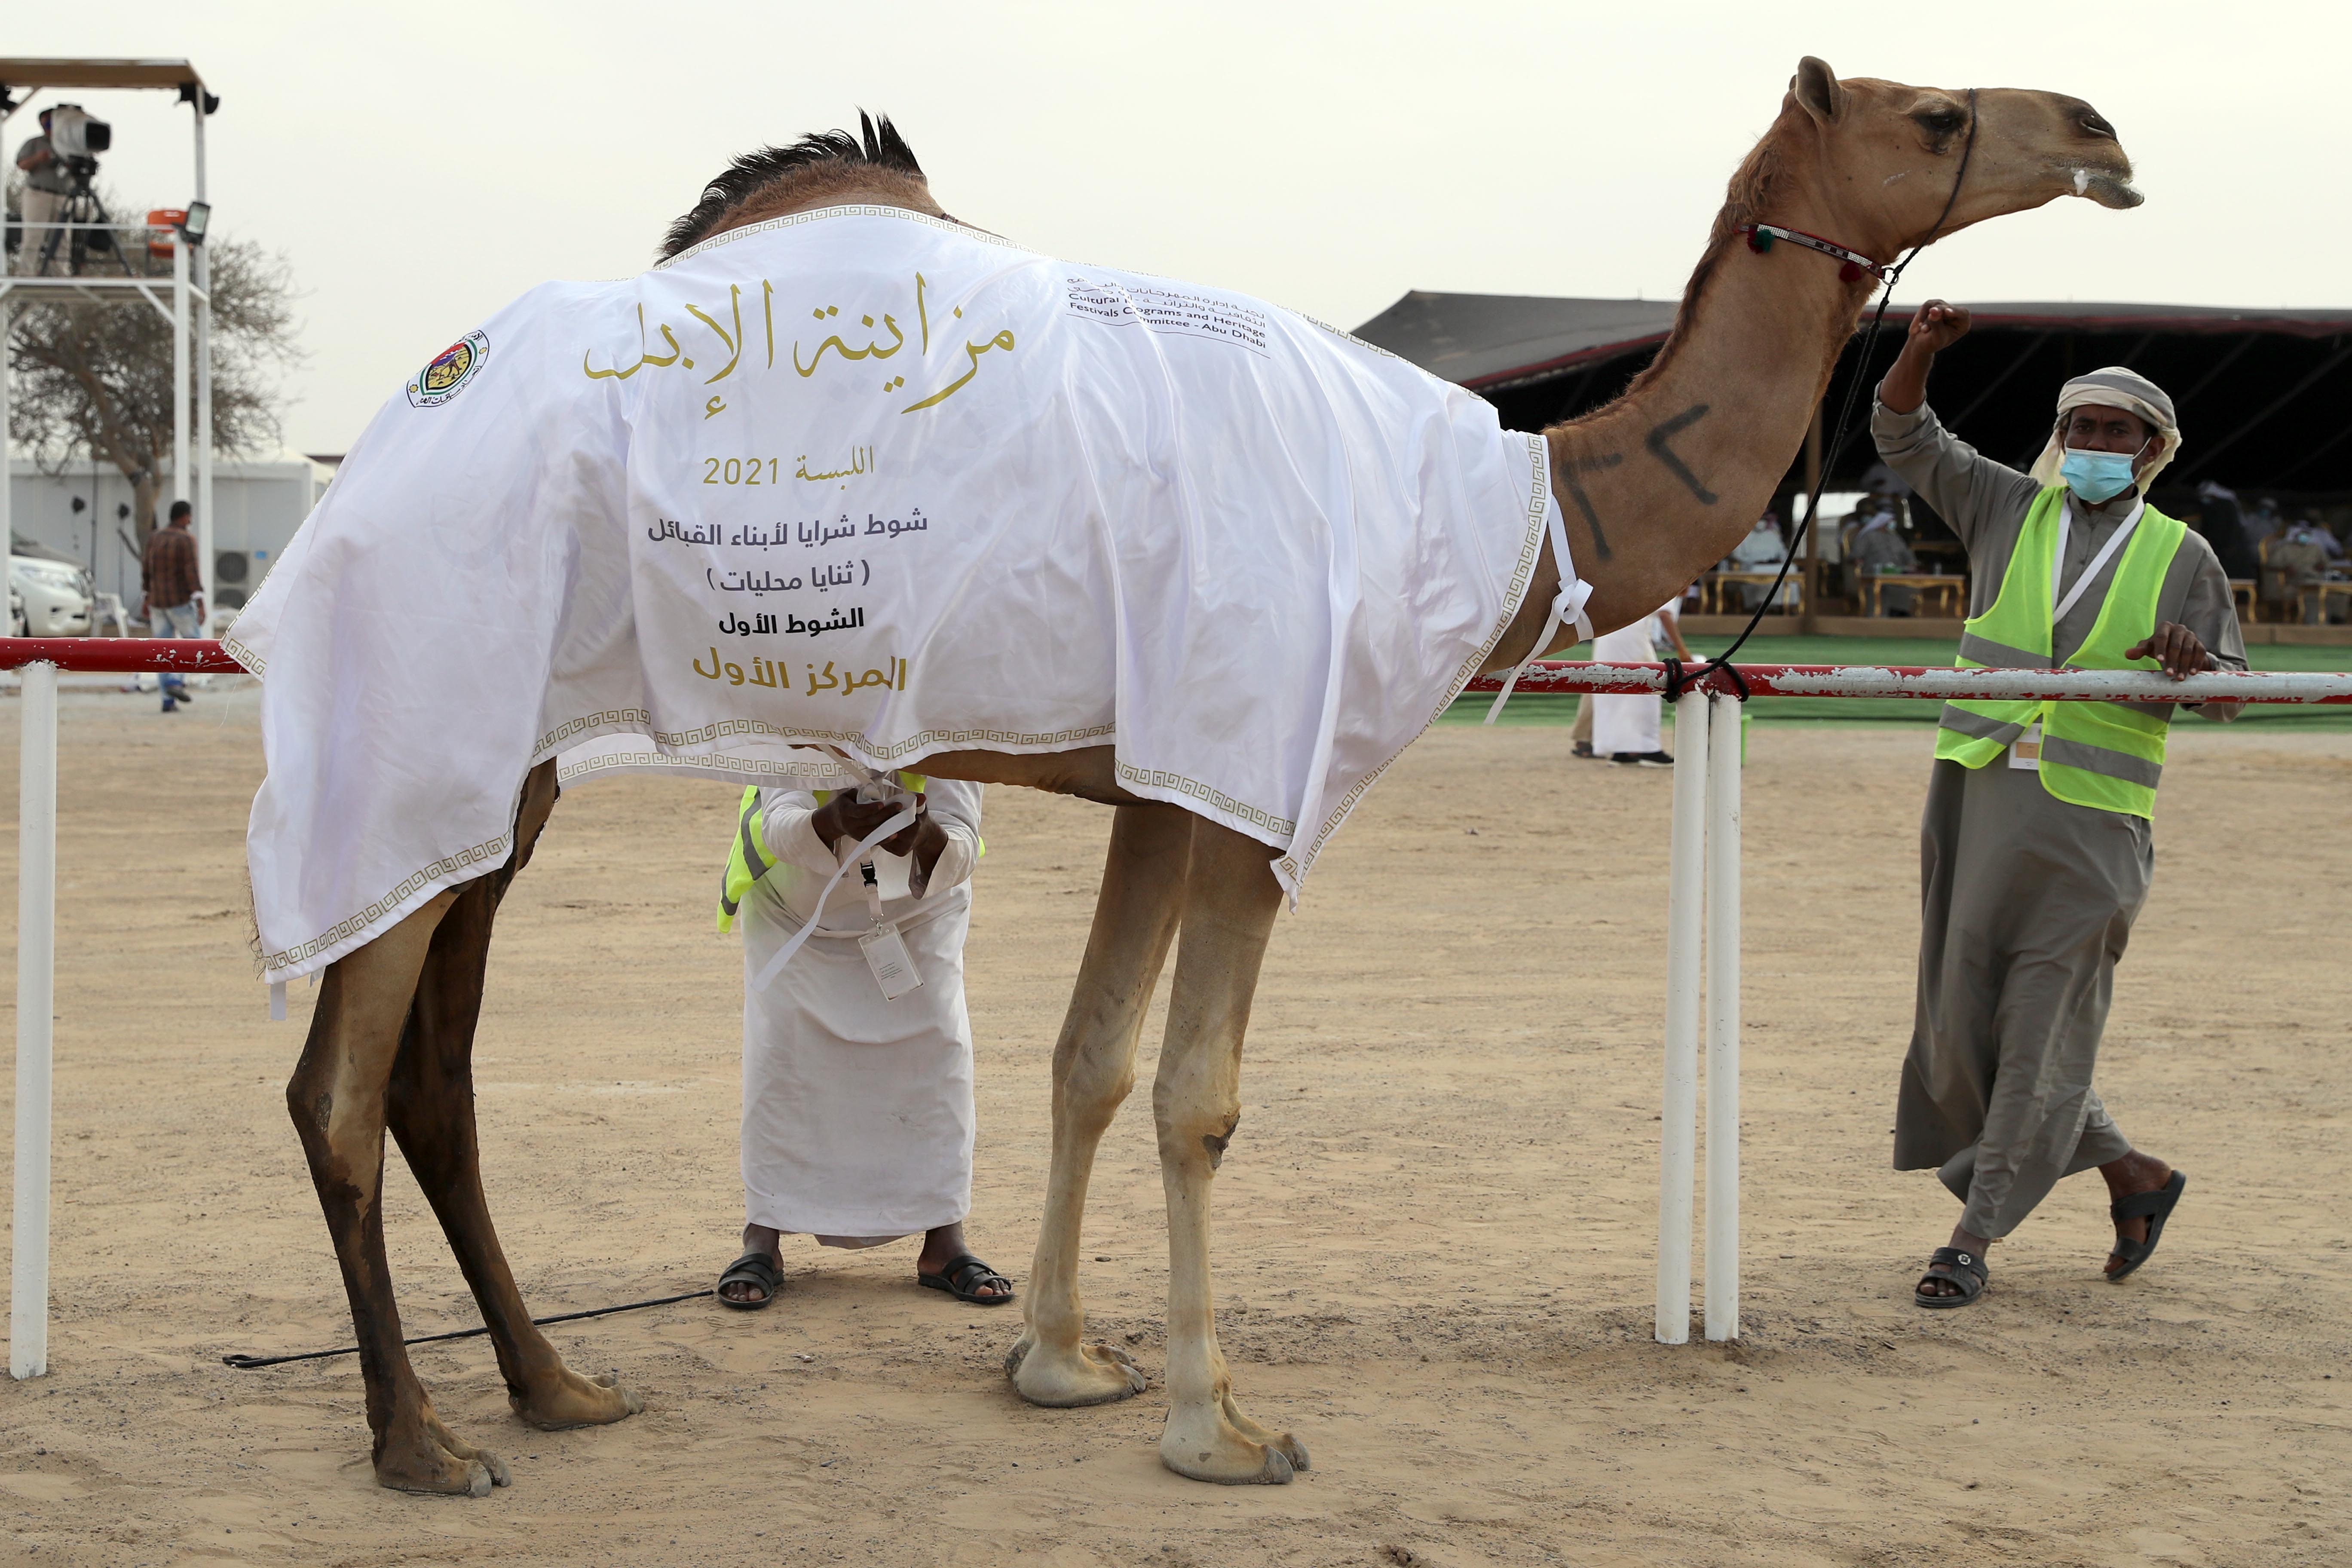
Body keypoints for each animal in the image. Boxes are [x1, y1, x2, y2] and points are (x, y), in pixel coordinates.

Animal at [275, 55, 2135, 1495]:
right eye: (1935, 110)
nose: (2103, 131)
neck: (1528, 503)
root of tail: (381, 437)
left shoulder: (1170, 784)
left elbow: (1089, 1058)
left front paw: (1061, 1361)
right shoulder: (1253, 771)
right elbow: (1199, 1093)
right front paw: (1214, 1423)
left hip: (503, 780)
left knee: (435, 1076)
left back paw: (555, 1386)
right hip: (427, 712)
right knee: (339, 1089)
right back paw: (422, 1441)